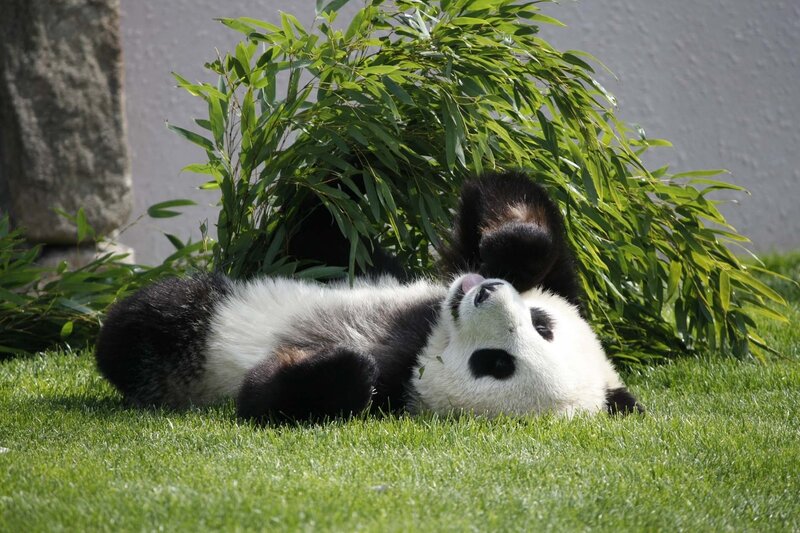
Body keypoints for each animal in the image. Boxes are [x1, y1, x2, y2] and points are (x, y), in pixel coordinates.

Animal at [95, 171, 642, 423]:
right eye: (541, 321)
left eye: (496, 364)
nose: (485, 292)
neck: (428, 336)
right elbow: (519, 204)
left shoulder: (399, 393)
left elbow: (270, 398)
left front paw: (342, 363)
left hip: (192, 345)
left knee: (156, 322)